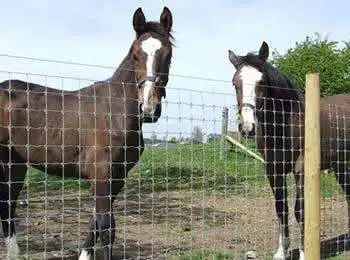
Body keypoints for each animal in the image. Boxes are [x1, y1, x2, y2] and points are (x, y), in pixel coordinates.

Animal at [0, 6, 175, 260]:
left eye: (168, 55)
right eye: (135, 55)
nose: (149, 109)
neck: (114, 111)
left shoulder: (116, 177)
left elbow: (96, 222)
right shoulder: (102, 175)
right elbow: (107, 228)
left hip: (16, 163)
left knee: (8, 204)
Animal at [228, 41, 350, 260]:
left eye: (262, 82)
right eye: (235, 83)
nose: (248, 128)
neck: (287, 124)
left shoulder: (301, 169)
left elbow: (300, 210)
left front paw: (303, 252)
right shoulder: (273, 170)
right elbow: (281, 208)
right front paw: (281, 252)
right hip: (341, 166)